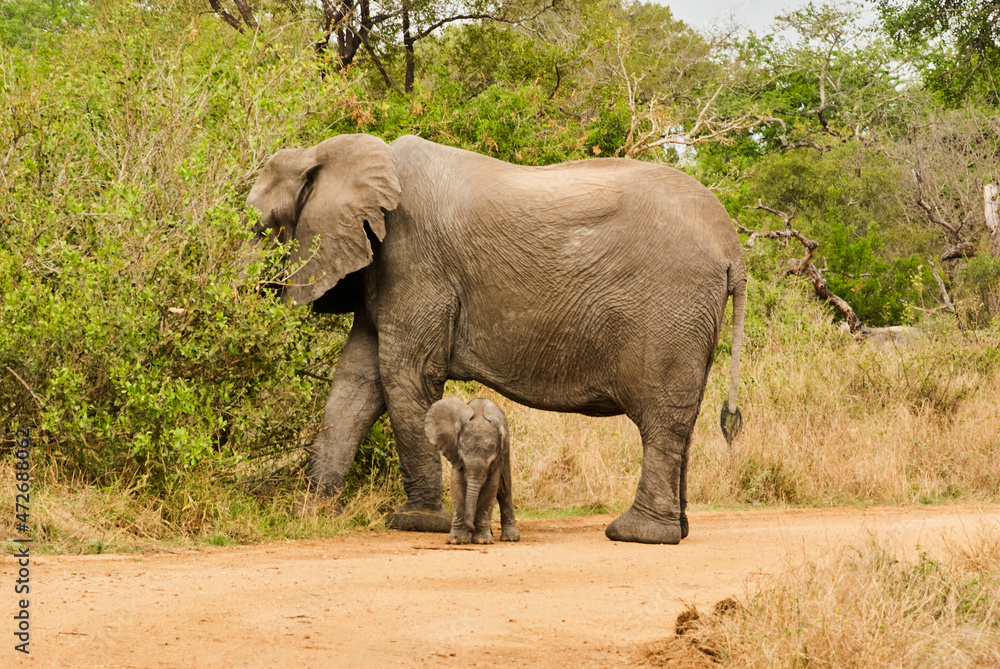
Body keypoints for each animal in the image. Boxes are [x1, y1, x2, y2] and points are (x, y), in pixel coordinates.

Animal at [424, 397, 519, 545]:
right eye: (462, 460)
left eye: (491, 463)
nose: (471, 528)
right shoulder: (455, 454)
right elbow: (457, 486)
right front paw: (457, 541)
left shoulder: (497, 459)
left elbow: (490, 487)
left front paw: (482, 541)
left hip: (506, 449)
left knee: (504, 489)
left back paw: (510, 538)